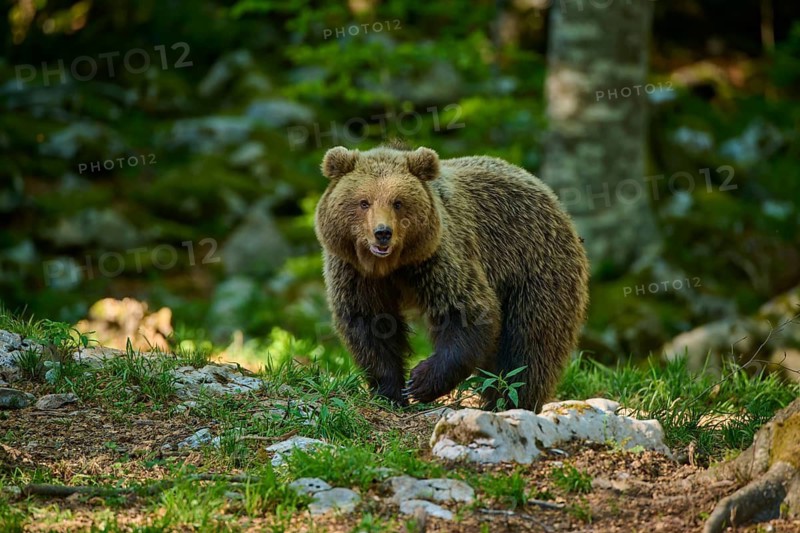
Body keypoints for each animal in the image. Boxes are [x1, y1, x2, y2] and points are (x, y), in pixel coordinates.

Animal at [314, 144, 589, 412]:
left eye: (398, 202)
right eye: (364, 202)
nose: (383, 233)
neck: (391, 266)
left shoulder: (438, 259)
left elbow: (466, 311)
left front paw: (420, 382)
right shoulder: (355, 273)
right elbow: (371, 324)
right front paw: (389, 392)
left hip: (534, 266)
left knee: (530, 344)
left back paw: (510, 403)